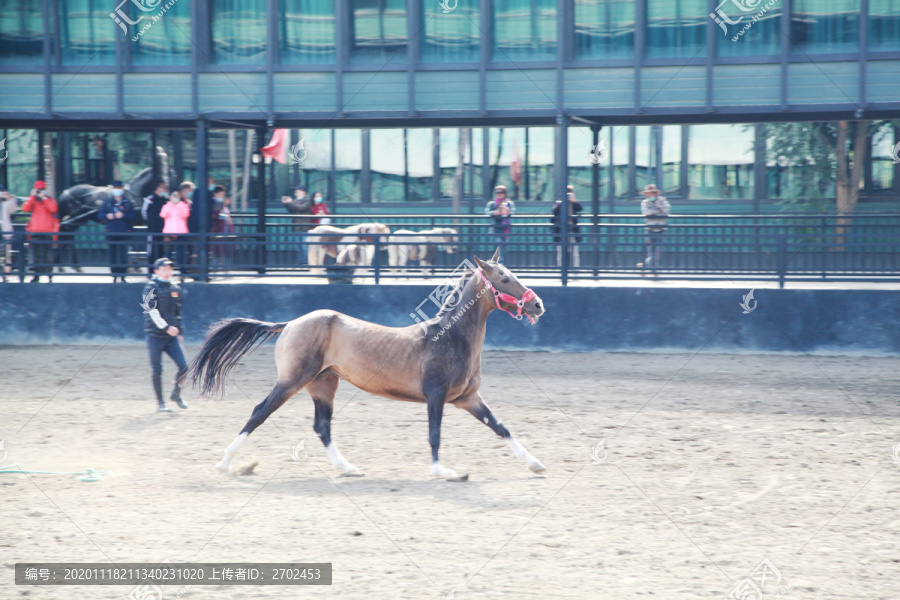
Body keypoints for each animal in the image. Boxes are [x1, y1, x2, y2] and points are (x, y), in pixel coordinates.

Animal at [186, 247, 544, 478]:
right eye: (504, 279)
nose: (538, 304)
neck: (451, 337)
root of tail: (288, 324)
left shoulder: (467, 398)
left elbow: (501, 427)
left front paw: (535, 463)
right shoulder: (436, 395)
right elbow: (435, 433)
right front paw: (443, 471)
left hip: (323, 384)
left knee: (322, 426)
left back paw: (347, 468)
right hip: (292, 380)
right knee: (260, 412)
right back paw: (225, 462)